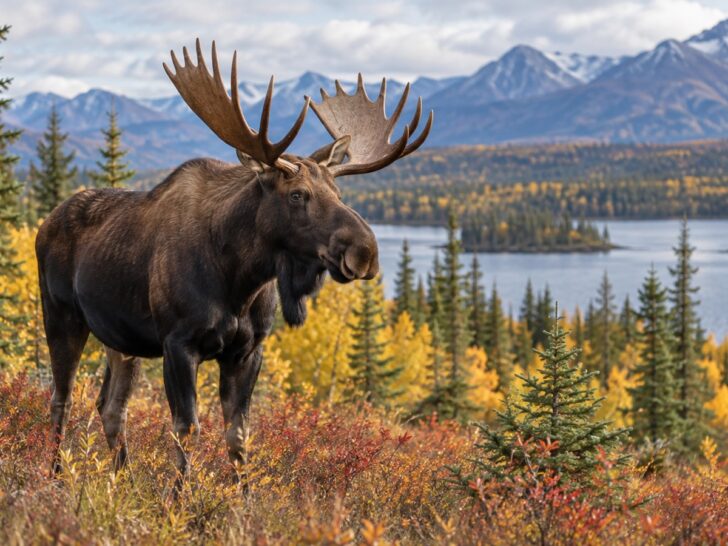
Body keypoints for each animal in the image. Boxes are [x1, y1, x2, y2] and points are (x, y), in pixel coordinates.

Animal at [35, 39, 432, 485]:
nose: (365, 251)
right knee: (62, 399)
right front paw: (179, 498)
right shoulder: (178, 343)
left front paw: (241, 499)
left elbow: (238, 437)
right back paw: (54, 477)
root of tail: (44, 223)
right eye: (297, 194)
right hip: (62, 315)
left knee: (109, 406)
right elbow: (186, 430)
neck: (240, 280)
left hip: (122, 341)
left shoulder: (247, 350)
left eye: (337, 191)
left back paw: (123, 483)